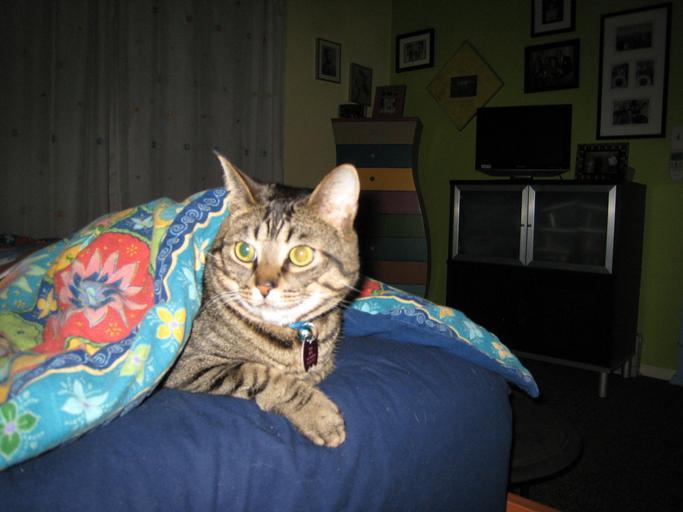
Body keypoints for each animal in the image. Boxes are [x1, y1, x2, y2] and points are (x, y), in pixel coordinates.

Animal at [163, 152, 360, 447]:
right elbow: (262, 374)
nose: (264, 287)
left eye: (301, 255)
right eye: (244, 250)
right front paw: (318, 414)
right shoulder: (189, 364)